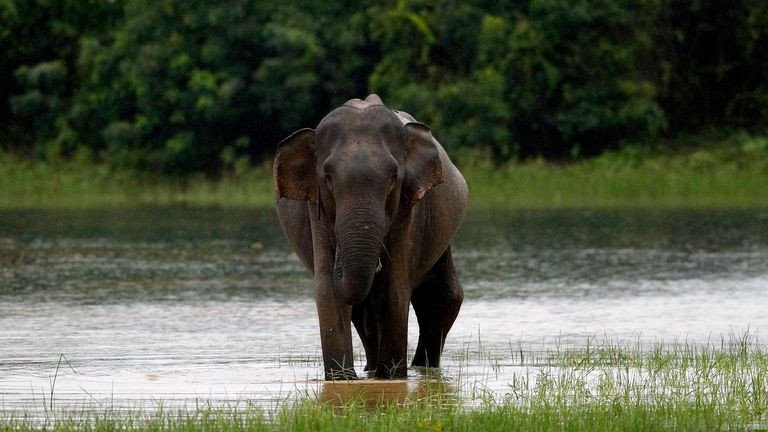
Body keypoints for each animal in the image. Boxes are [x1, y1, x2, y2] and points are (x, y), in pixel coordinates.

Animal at [276, 93, 468, 378]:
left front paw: (391, 377)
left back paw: (419, 369)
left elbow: (395, 287)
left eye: (394, 177)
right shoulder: (316, 211)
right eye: (328, 177)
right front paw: (342, 379)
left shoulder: (408, 212)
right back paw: (371, 369)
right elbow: (327, 289)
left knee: (441, 296)